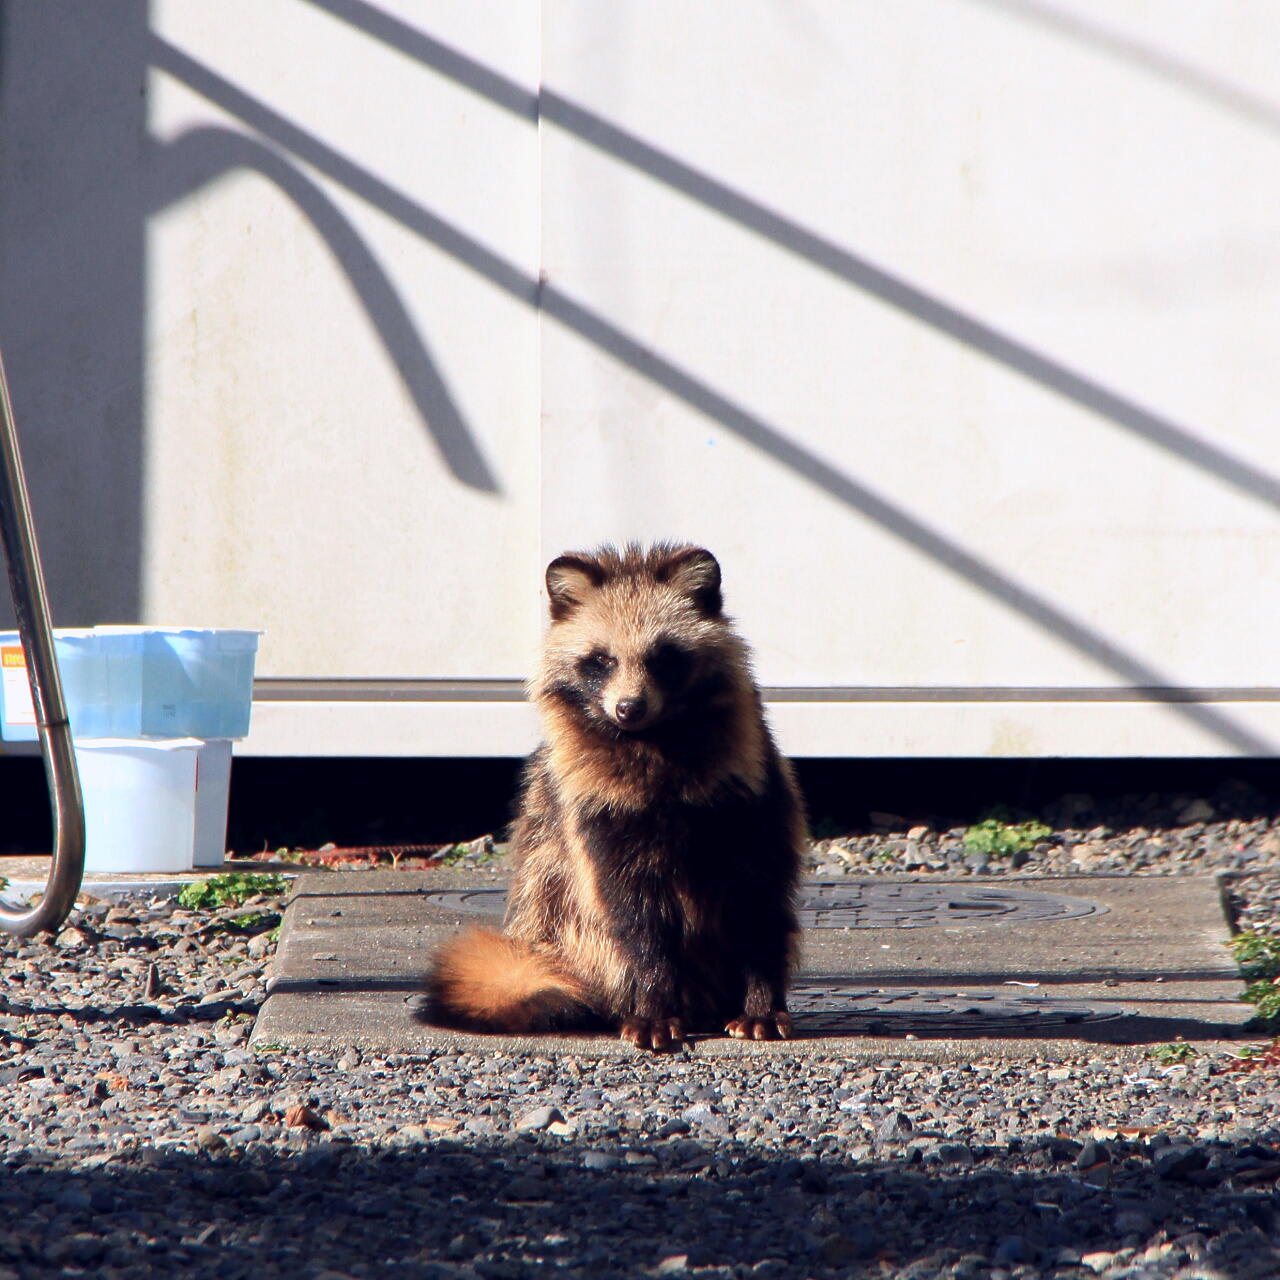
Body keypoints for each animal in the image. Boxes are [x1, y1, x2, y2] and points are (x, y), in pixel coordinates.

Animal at [424, 540, 803, 1049]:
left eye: (663, 657)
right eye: (601, 660)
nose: (628, 708)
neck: (655, 744)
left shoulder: (752, 796)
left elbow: (758, 905)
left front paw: (762, 1002)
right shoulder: (596, 815)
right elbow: (634, 919)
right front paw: (653, 1005)